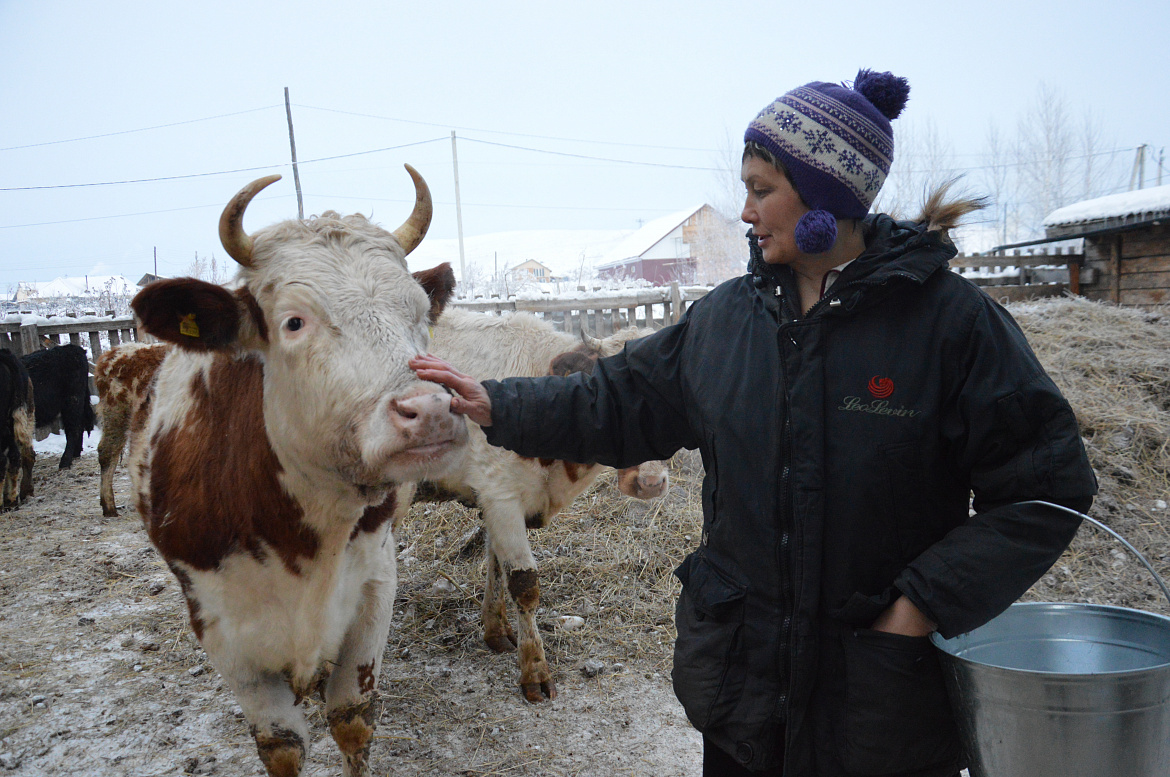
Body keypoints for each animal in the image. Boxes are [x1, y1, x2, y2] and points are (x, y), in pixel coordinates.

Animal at [411, 308, 669, 702]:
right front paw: (534, 670)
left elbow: (496, 566)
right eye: (609, 390)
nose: (650, 483)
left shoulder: (494, 499)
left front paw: (496, 631)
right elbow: (524, 584)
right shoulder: (500, 494)